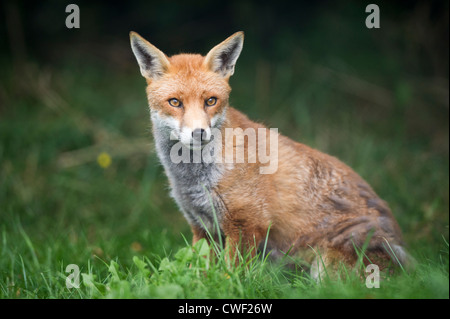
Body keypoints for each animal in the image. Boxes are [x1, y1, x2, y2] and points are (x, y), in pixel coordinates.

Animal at [128, 31, 410, 278]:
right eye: (175, 102)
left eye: (211, 101)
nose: (199, 133)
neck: (195, 179)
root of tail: (411, 270)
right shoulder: (203, 228)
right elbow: (199, 273)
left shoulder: (247, 224)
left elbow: (229, 276)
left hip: (325, 265)